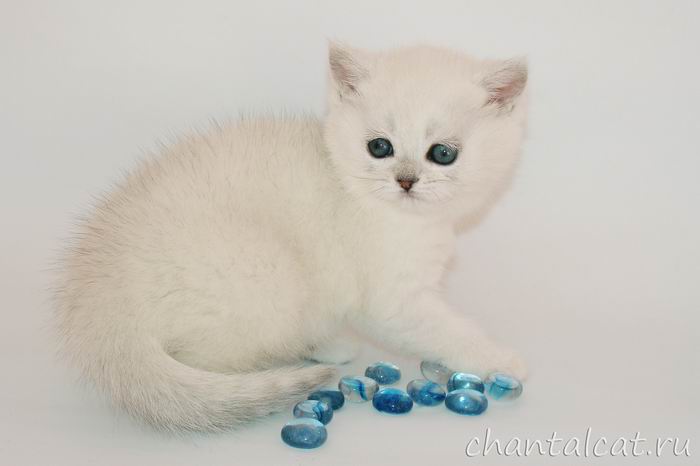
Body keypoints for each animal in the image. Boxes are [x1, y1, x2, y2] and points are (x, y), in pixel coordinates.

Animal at [52, 43, 528, 434]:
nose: (406, 181)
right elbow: (448, 331)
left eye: (442, 154)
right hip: (270, 271)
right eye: (380, 147)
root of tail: (99, 313)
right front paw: (503, 361)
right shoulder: (394, 301)